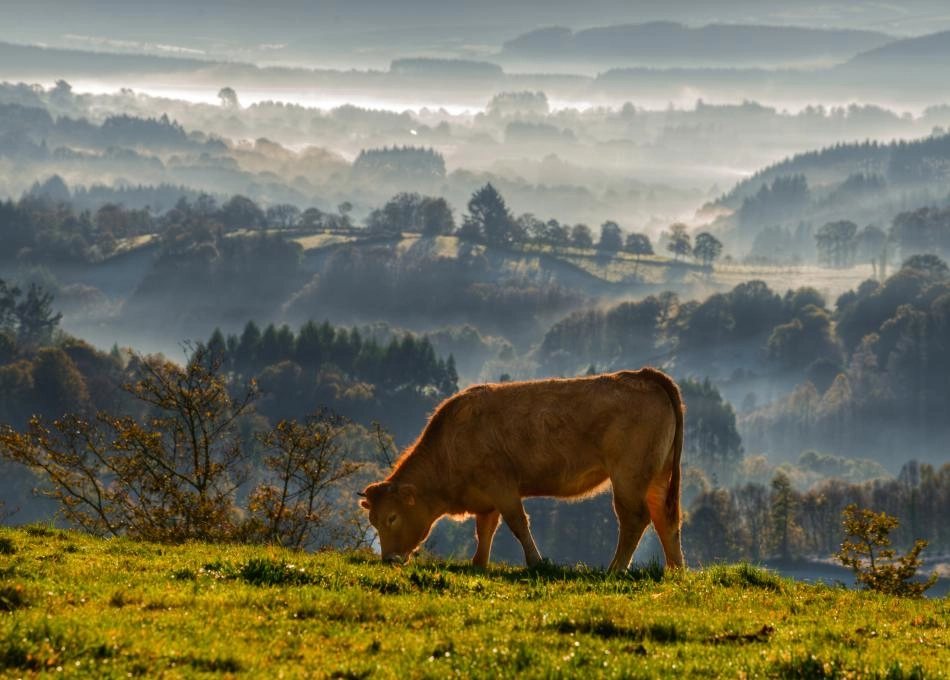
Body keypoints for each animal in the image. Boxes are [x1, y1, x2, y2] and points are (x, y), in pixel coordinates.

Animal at [362, 370, 684, 572]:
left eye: (392, 517)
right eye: (373, 521)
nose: (389, 559)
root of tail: (643, 374)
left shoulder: (501, 483)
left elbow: (517, 523)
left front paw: (537, 562)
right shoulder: (486, 497)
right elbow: (485, 529)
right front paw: (479, 563)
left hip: (629, 475)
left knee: (635, 518)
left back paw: (616, 569)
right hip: (658, 475)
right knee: (665, 519)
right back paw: (676, 571)